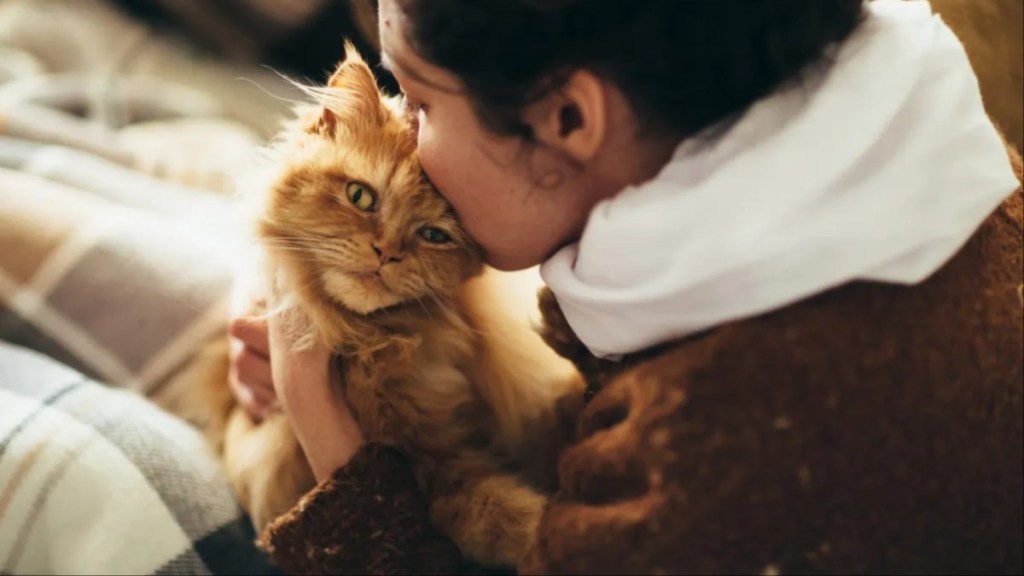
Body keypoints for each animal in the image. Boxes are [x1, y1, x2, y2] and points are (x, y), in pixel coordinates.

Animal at [184, 43, 585, 565]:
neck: (379, 347)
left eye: (433, 235)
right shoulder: (430, 471)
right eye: (361, 196)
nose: (387, 253)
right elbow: (505, 515)